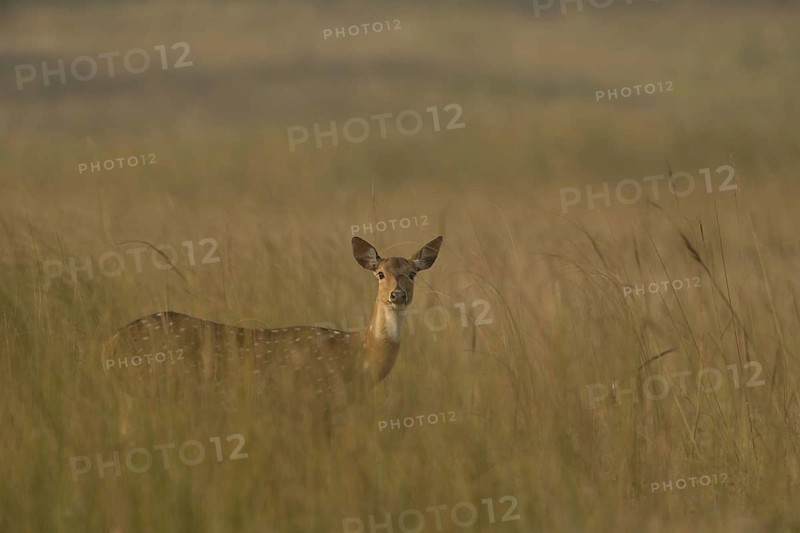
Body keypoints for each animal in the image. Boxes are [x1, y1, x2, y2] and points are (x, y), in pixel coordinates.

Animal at [106, 236, 444, 418]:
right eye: (380, 273)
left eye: (412, 273)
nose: (397, 295)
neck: (357, 354)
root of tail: (109, 345)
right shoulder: (313, 400)